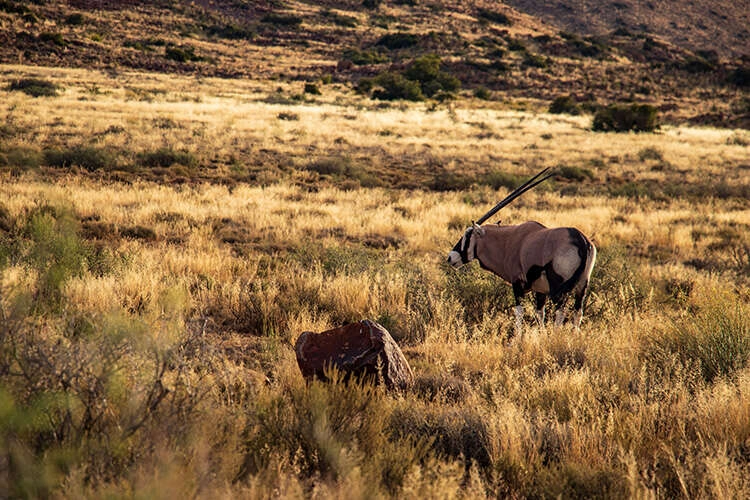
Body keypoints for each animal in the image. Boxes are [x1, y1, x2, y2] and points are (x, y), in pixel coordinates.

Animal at [446, 168, 600, 332]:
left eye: (467, 235)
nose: (450, 257)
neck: (508, 242)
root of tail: (581, 241)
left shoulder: (517, 284)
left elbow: (519, 312)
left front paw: (517, 336)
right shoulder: (540, 291)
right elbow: (540, 314)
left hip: (558, 288)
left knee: (560, 312)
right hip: (582, 286)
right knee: (578, 312)